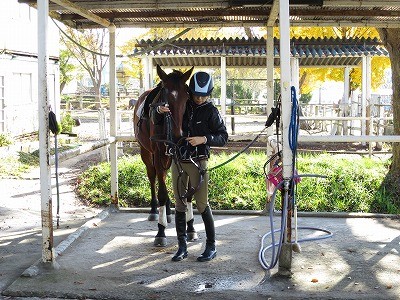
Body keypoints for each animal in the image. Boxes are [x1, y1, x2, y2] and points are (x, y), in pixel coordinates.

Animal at [134, 65, 198, 246]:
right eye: (165, 100)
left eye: (186, 97)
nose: (177, 136)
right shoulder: (158, 155)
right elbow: (162, 191)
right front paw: (160, 232)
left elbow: (188, 192)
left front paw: (191, 228)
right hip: (146, 153)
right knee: (153, 176)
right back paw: (155, 211)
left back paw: (168, 212)